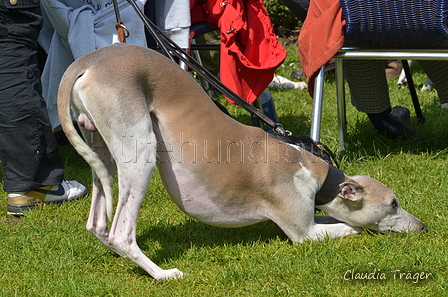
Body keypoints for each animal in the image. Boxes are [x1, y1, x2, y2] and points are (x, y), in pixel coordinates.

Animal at [57, 42, 426, 278]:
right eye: (393, 203)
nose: (423, 226)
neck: (315, 172)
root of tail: (86, 62)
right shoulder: (304, 232)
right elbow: (351, 227)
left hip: (101, 147)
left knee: (99, 222)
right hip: (140, 152)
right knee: (121, 232)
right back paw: (162, 274)